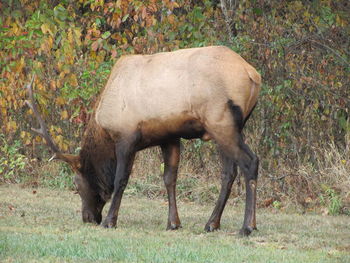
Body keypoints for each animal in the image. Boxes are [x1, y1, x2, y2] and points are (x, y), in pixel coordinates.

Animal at [27, 46, 262, 237]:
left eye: (76, 184)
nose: (88, 218)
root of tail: (252, 74)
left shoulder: (126, 138)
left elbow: (120, 179)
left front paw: (110, 221)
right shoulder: (169, 137)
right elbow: (169, 179)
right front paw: (173, 223)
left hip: (221, 122)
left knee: (250, 161)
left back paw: (247, 226)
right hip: (230, 127)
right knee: (229, 172)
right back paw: (212, 223)